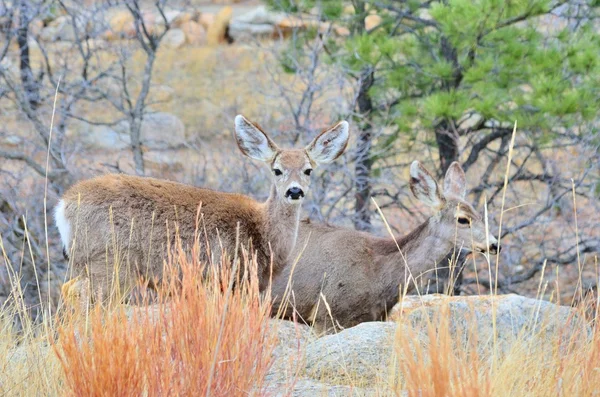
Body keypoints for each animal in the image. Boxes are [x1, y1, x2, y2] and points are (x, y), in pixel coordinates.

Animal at [56, 114, 352, 304]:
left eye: (308, 170)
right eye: (277, 170)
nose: (294, 191)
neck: (262, 231)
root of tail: (64, 206)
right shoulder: (226, 277)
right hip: (108, 261)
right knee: (80, 294)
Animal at [272, 159, 502, 332]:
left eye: (479, 214)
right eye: (463, 219)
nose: (494, 244)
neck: (379, 272)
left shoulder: (374, 317)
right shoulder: (328, 313)